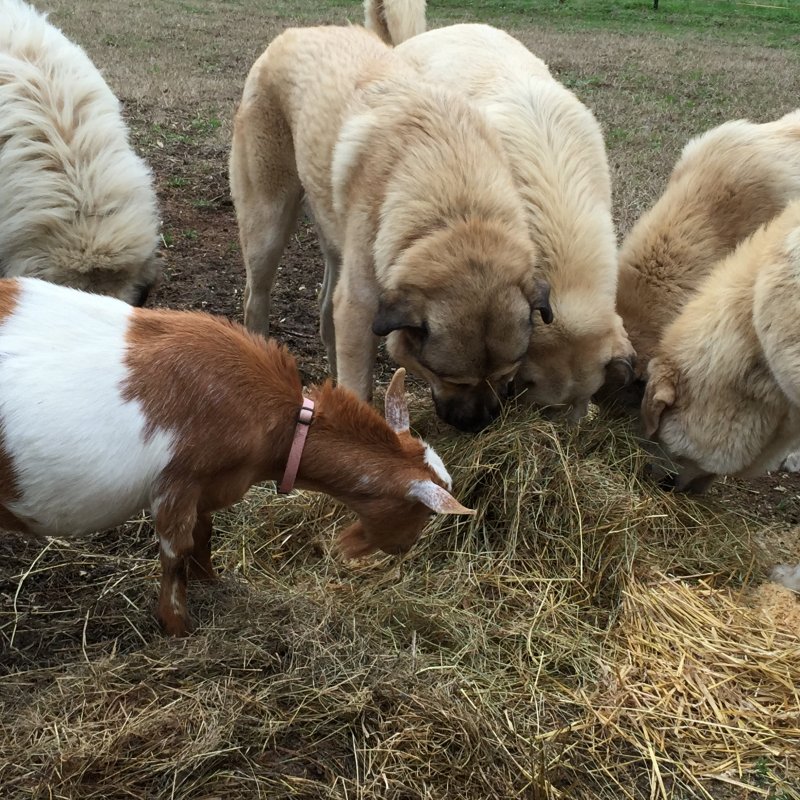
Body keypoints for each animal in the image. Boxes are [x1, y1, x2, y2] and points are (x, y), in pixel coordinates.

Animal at [0, 278, 472, 636]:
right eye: (422, 512)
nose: (401, 551)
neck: (280, 424)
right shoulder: (177, 483)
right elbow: (175, 552)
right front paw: (179, 627)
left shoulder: (207, 486)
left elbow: (204, 535)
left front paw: (214, 581)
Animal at [228, 26, 552, 432]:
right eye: (451, 379)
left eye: (506, 376)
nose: (477, 425)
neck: (457, 208)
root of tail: (295, 32)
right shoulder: (361, 307)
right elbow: (359, 381)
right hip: (268, 228)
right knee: (255, 299)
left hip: (335, 238)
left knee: (325, 309)